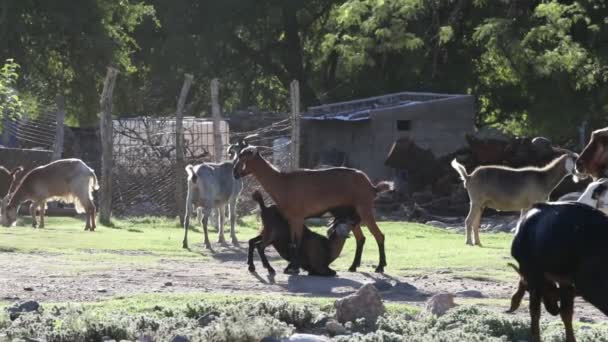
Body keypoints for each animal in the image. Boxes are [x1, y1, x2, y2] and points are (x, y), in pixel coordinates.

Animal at [233, 146, 394, 274]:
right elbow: (292, 242)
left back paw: (380, 267)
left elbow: (297, 242)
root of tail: (372, 187)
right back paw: (353, 266)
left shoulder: (298, 217)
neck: (282, 182)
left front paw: (294, 268)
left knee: (379, 235)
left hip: (365, 210)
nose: (235, 173)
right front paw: (291, 267)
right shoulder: (291, 218)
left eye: (243, 158)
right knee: (361, 238)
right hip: (351, 216)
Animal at [452, 153, 580, 246]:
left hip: (481, 204)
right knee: (469, 221)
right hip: (476, 201)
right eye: (576, 160)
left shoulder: (525, 206)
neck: (544, 178)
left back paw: (478, 242)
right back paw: (469, 242)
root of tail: (469, 177)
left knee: (475, 223)